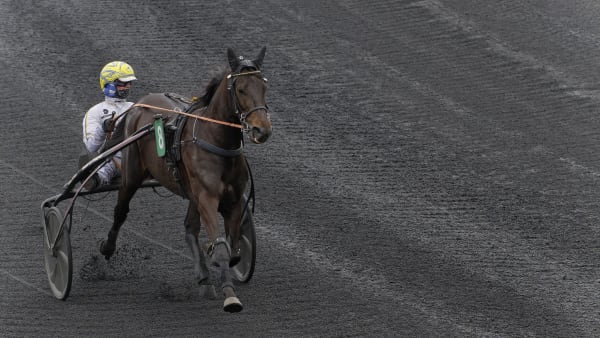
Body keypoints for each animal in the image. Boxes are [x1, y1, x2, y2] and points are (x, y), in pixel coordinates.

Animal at [98, 46, 272, 312]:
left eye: (263, 86)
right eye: (241, 89)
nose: (262, 130)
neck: (215, 140)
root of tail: (140, 104)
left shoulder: (232, 201)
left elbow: (233, 249)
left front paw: (216, 262)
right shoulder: (207, 197)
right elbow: (222, 250)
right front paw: (230, 296)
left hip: (190, 191)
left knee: (190, 227)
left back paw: (204, 277)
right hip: (132, 174)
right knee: (120, 211)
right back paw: (108, 247)